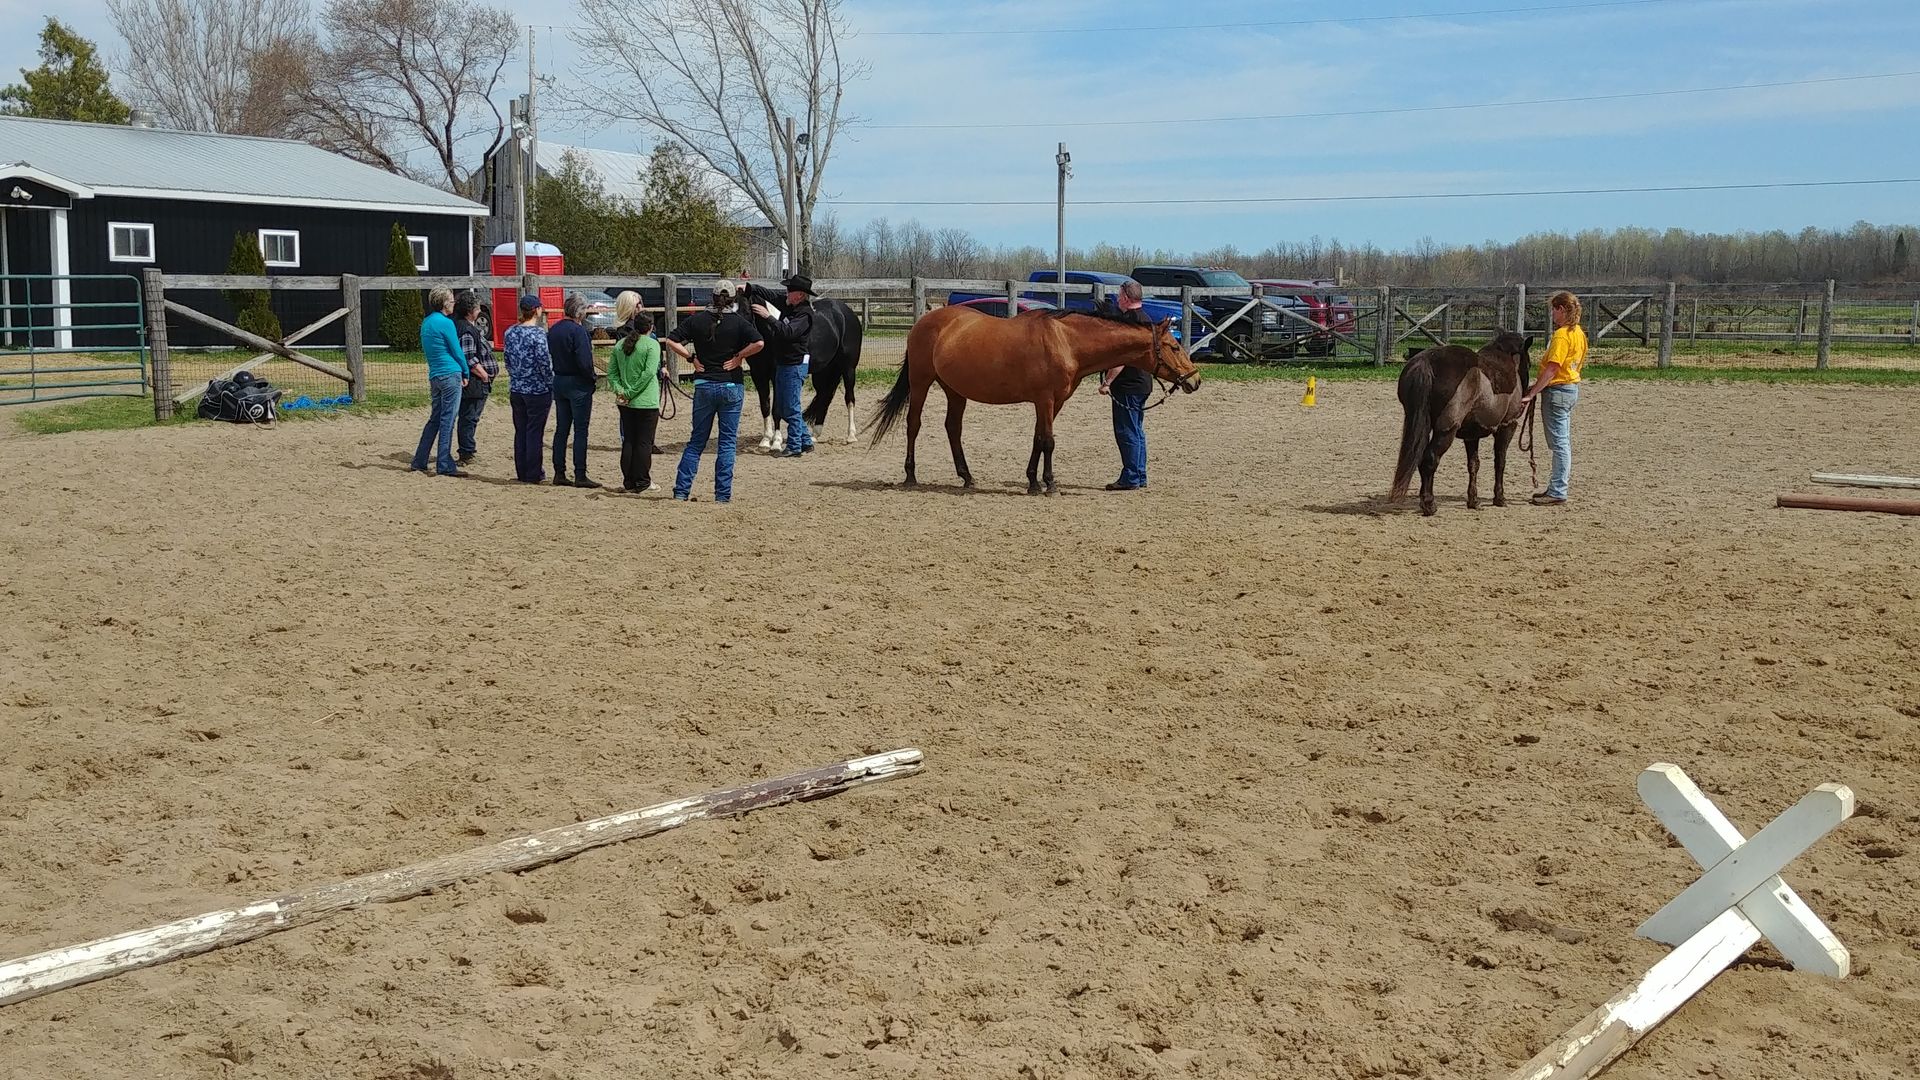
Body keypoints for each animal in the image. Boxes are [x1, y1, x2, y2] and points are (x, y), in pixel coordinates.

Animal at [867, 306, 1200, 494]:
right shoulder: (1045, 400)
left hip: (955, 390)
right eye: (1173, 346)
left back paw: (967, 477)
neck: (1067, 342)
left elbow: (1038, 440)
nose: (1195, 380)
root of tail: (923, 322)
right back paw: (910, 475)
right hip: (921, 382)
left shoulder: (1053, 402)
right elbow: (1048, 442)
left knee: (953, 429)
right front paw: (1049, 484)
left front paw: (1032, 481)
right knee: (914, 425)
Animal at [1390, 330, 1534, 515]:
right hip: (1446, 430)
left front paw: (1473, 500)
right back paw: (1429, 504)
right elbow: (1500, 462)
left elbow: (1473, 464)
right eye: (1529, 364)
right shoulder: (1507, 426)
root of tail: (1426, 362)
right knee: (1430, 459)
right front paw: (1499, 498)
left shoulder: (1471, 435)